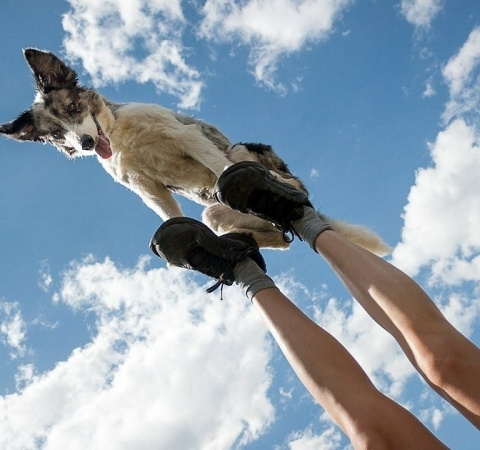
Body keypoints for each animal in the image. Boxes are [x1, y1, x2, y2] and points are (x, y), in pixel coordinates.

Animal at [0, 48, 390, 255]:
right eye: (56, 135)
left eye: (71, 108)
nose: (84, 144)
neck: (123, 137)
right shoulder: (145, 186)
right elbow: (169, 214)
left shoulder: (185, 136)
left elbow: (217, 166)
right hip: (215, 214)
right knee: (281, 237)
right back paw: (245, 238)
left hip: (243, 152)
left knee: (278, 186)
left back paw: (282, 188)